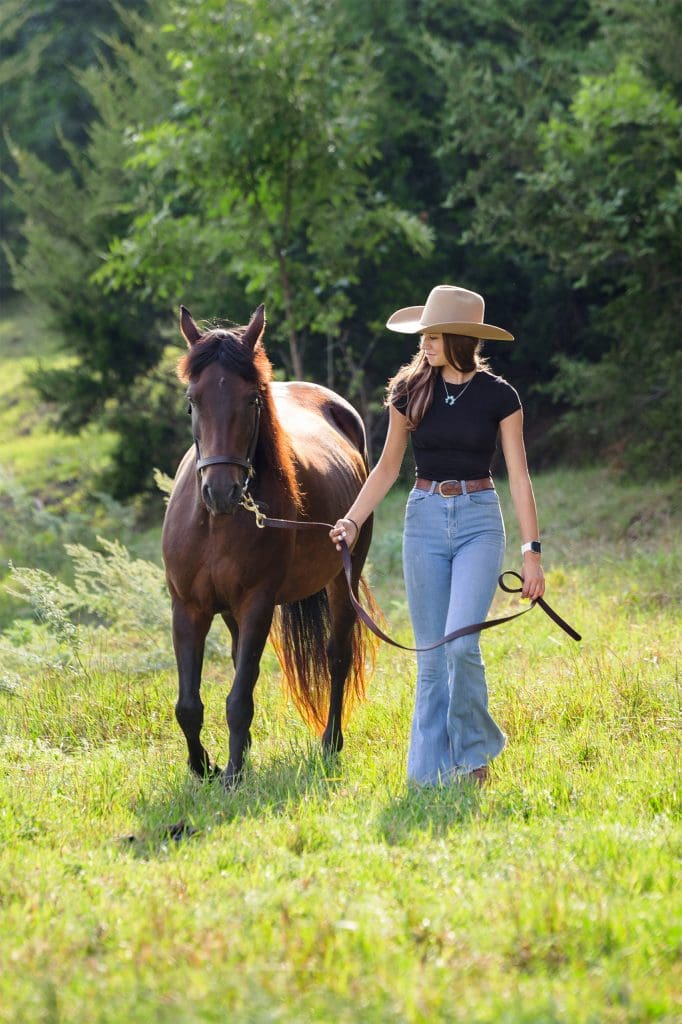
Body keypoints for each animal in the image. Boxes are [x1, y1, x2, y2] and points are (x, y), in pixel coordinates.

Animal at [162, 303, 376, 787]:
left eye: (252, 400)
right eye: (192, 401)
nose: (221, 491)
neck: (215, 525)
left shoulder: (258, 604)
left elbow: (239, 699)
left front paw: (232, 775)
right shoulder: (188, 607)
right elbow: (188, 705)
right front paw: (204, 766)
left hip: (342, 580)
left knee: (337, 657)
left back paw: (330, 742)